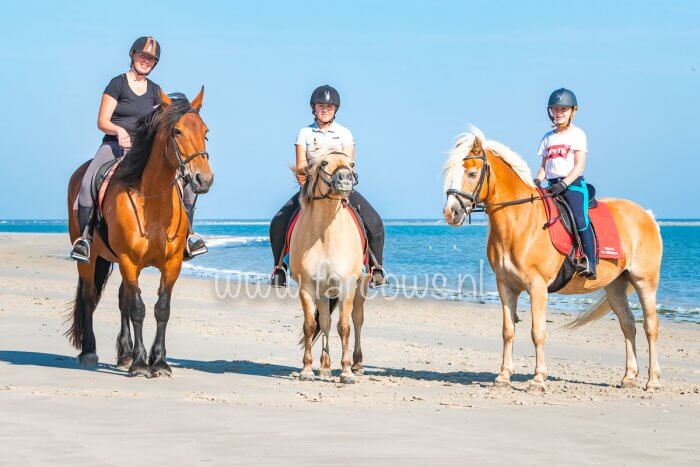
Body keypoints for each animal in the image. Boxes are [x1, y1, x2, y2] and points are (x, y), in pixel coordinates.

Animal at [67, 89, 212, 378]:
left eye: (205, 131)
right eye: (177, 131)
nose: (204, 179)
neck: (152, 198)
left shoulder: (171, 264)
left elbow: (161, 309)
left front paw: (159, 362)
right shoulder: (128, 259)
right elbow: (138, 308)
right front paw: (140, 363)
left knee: (122, 298)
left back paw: (124, 353)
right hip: (90, 260)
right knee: (89, 296)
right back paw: (90, 352)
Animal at [288, 148, 370, 386]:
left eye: (351, 164)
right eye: (324, 162)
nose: (345, 179)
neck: (326, 233)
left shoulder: (347, 286)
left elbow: (344, 327)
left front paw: (346, 372)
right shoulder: (307, 287)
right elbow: (310, 325)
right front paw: (307, 369)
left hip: (360, 289)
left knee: (357, 320)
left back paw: (357, 364)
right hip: (323, 293)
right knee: (324, 322)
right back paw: (324, 367)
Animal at [442, 124, 660, 392]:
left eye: (472, 173)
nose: (451, 213)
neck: (521, 221)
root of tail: (647, 216)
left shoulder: (537, 287)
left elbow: (538, 332)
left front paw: (538, 379)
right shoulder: (505, 286)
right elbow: (508, 330)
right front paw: (503, 376)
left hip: (644, 282)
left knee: (650, 326)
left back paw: (652, 381)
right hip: (615, 285)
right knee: (628, 324)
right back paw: (629, 377)